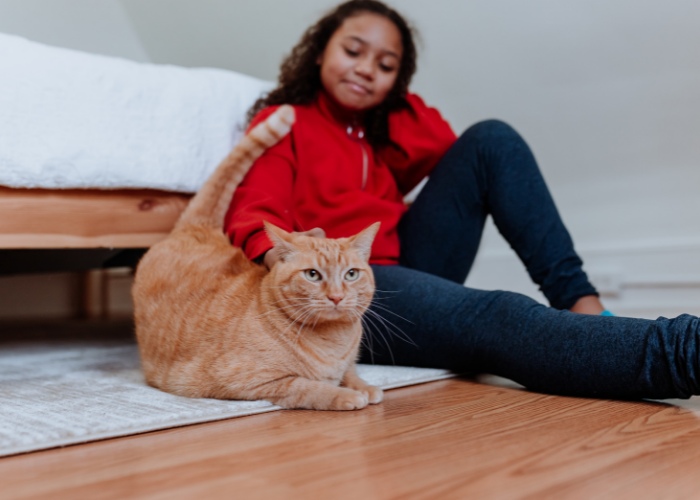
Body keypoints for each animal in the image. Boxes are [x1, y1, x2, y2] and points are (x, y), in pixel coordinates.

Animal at [131, 105, 382, 410]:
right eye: (313, 275)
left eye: (351, 274)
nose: (336, 296)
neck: (334, 341)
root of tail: (197, 228)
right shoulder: (252, 381)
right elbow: (308, 387)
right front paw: (345, 395)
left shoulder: (345, 364)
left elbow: (350, 372)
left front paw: (364, 386)